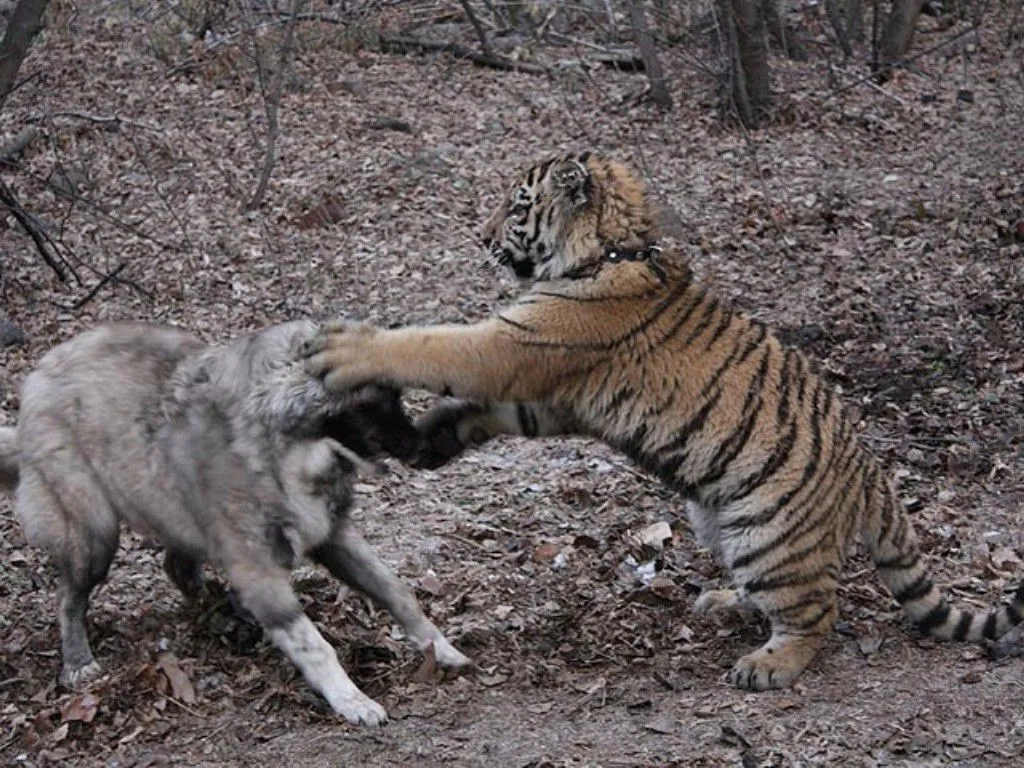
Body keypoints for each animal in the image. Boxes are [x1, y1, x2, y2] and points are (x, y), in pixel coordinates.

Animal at [301, 152, 1024, 690]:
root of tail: (872, 474)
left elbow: (431, 344)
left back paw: (766, 666)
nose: (479, 239)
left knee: (818, 612)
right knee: (775, 593)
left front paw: (341, 347)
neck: (607, 250)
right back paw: (724, 602)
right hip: (718, 518)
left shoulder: (515, 346)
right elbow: (480, 409)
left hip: (769, 533)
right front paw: (431, 438)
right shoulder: (550, 390)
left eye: (516, 205)